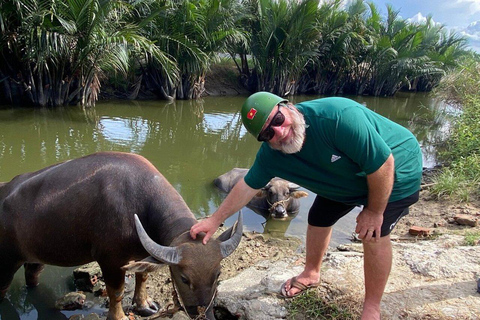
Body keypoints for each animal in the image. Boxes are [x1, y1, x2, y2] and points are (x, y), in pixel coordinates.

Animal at [0, 152, 242, 320]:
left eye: (218, 275)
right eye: (184, 278)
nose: (204, 315)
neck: (138, 203)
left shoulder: (141, 253)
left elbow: (142, 277)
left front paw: (144, 305)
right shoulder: (110, 260)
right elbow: (115, 292)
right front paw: (121, 316)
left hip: (36, 257)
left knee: (32, 276)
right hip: (7, 262)